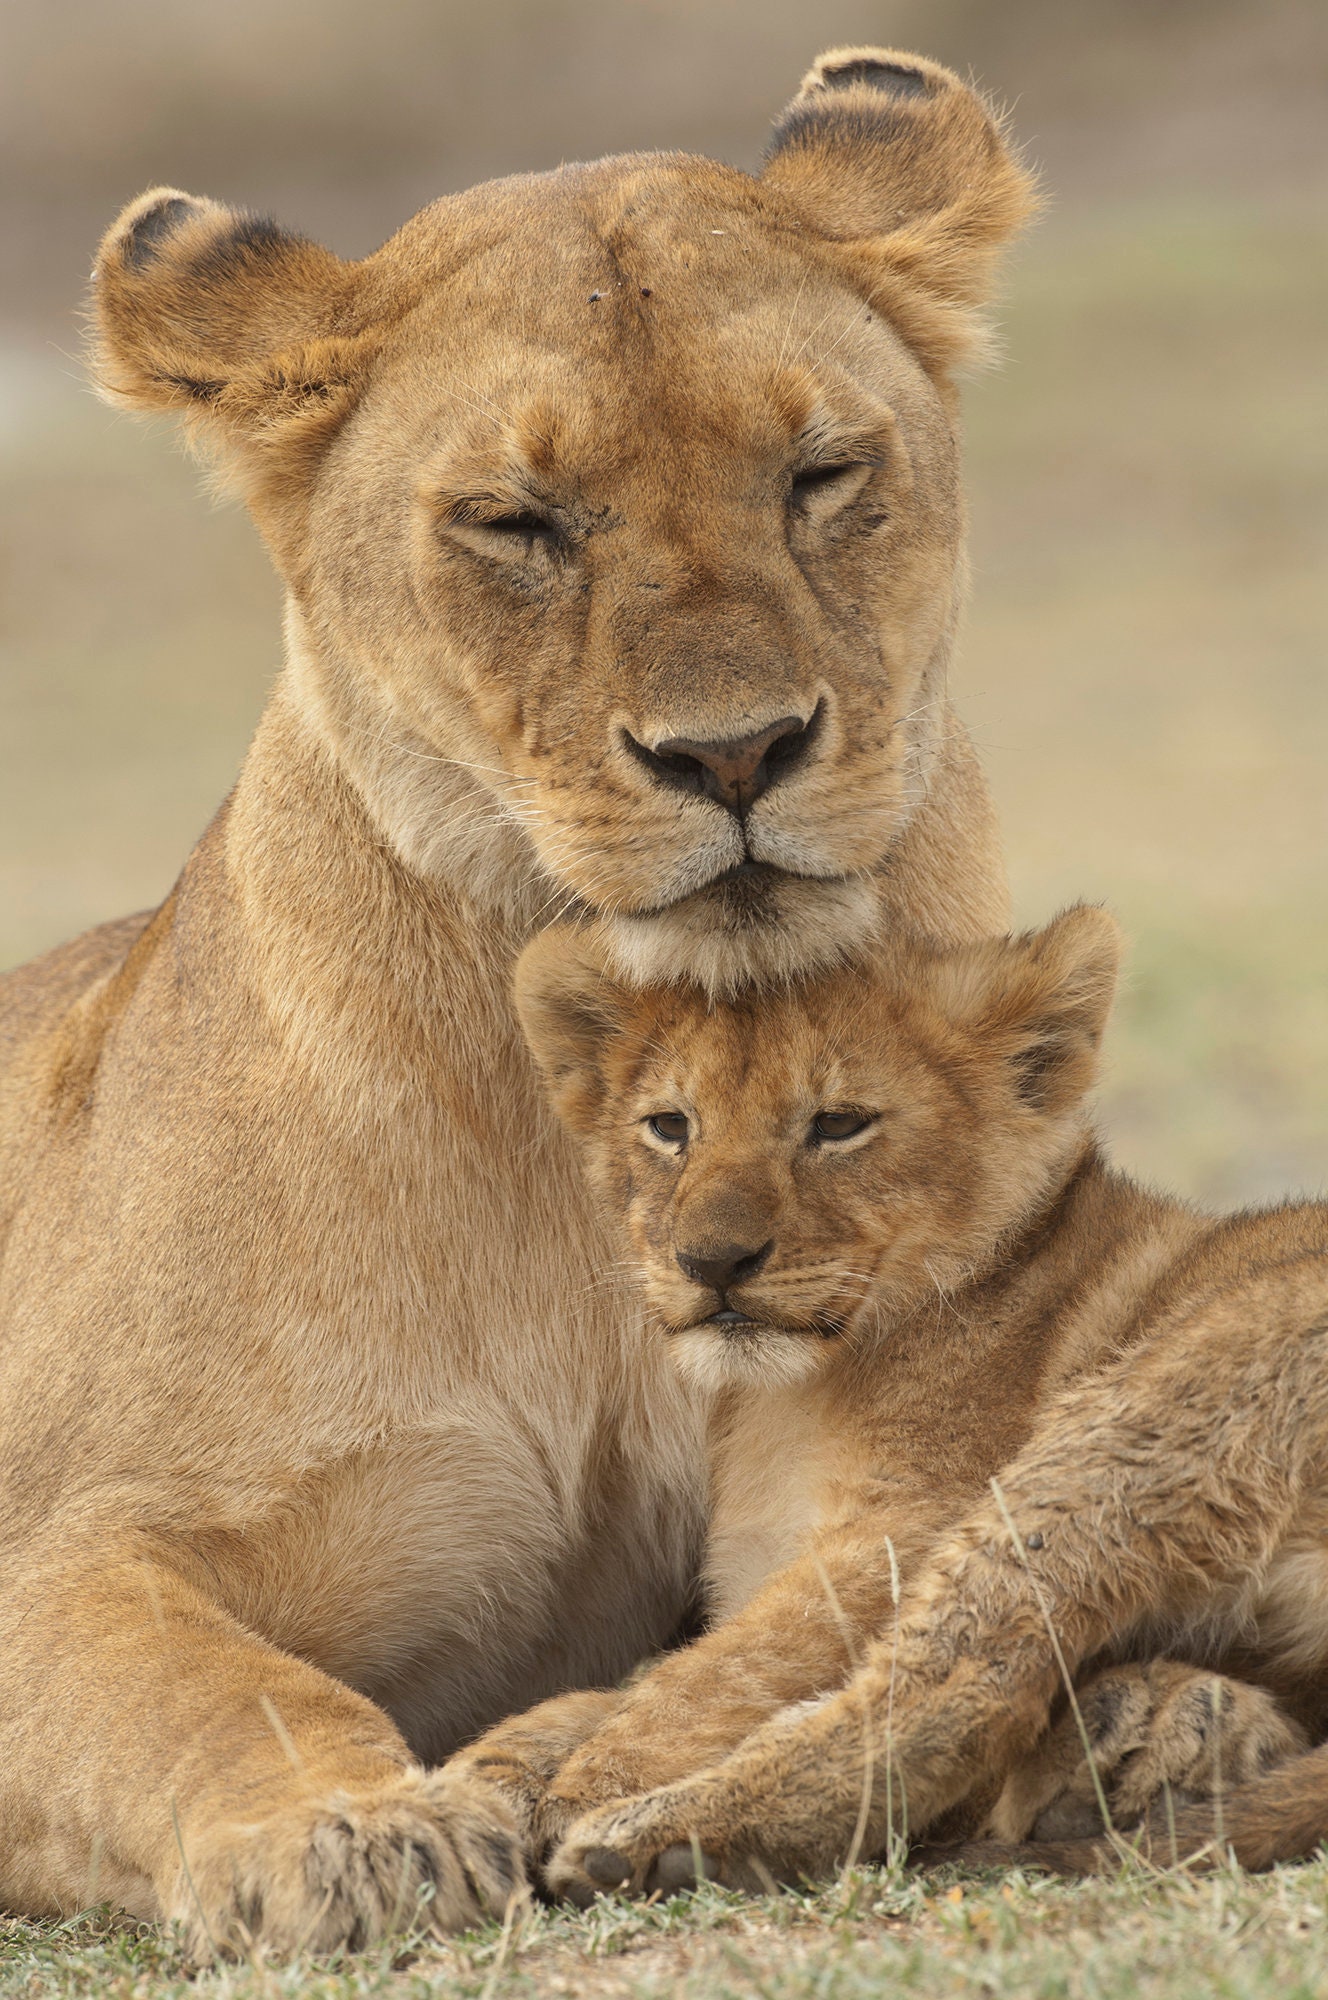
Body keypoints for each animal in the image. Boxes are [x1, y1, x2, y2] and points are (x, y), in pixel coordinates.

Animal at [0, 49, 1035, 1955]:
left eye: (818, 474)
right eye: (516, 523)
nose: (733, 753)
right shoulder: (66, 1538)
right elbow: (203, 1685)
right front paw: (347, 1830)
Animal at [475, 911, 1328, 1897]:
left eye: (839, 1125)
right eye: (669, 1127)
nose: (712, 1261)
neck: (786, 1398)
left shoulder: (898, 1528)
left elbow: (723, 1670)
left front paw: (585, 1783)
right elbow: (635, 1682)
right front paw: (489, 1773)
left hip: (1145, 1414)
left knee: (962, 1690)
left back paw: (657, 1838)